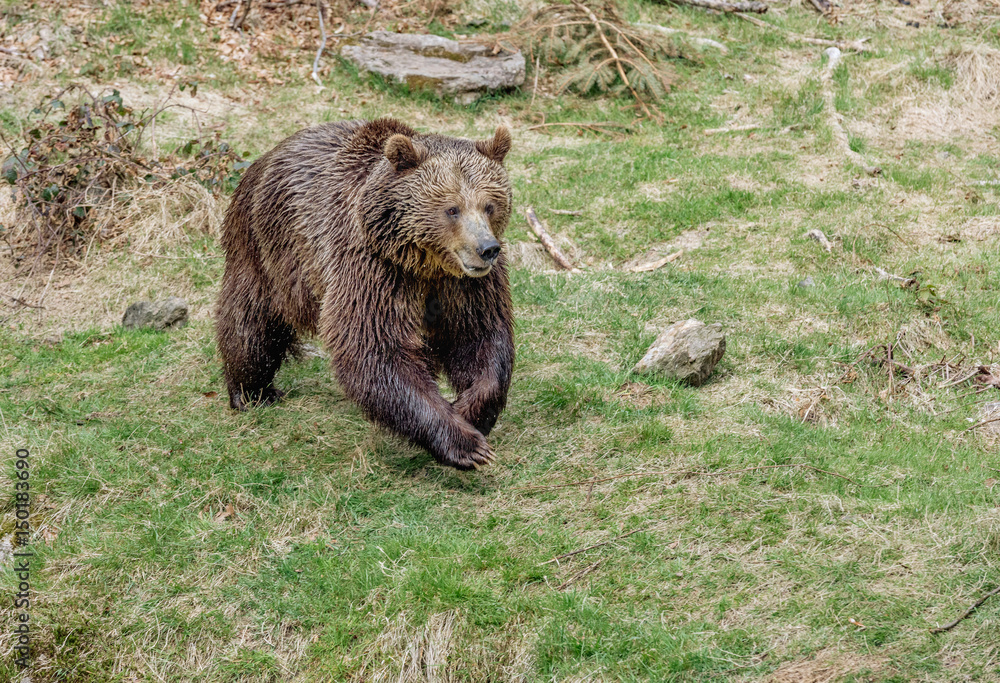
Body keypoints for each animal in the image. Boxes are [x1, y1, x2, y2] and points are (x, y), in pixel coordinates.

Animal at [217, 119, 516, 470]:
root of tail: (265, 157)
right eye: (451, 208)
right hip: (266, 247)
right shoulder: (373, 268)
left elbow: (481, 337)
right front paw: (466, 444)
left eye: (489, 204)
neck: (424, 264)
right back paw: (253, 392)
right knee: (250, 318)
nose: (487, 249)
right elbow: (374, 349)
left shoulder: (466, 287)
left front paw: (470, 411)